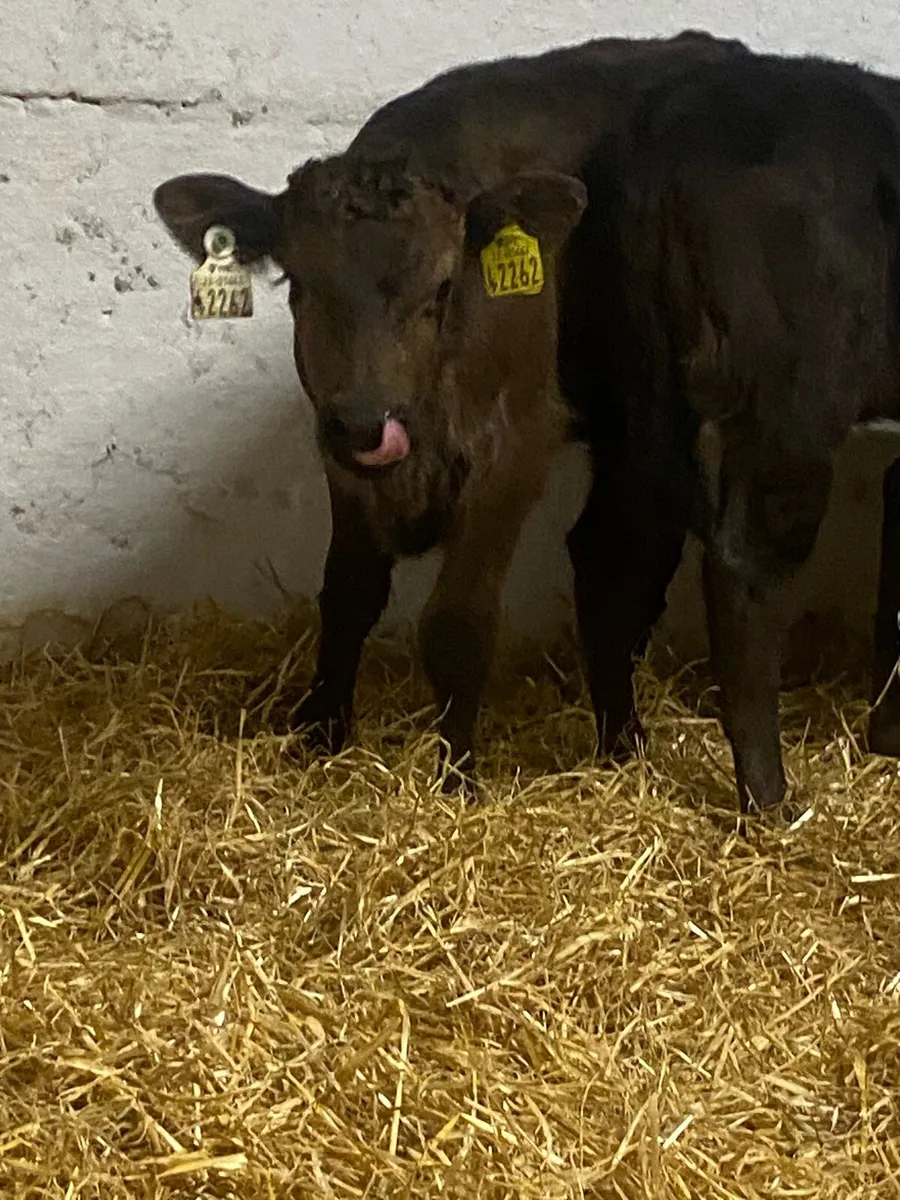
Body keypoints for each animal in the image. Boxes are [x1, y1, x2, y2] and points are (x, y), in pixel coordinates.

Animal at [153, 31, 749, 792]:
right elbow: (346, 596)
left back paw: (621, 736)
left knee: (620, 554)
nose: (365, 422)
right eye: (299, 285)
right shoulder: (340, 459)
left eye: (441, 288)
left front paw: (457, 776)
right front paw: (318, 732)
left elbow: (458, 625)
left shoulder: (512, 449)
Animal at [601, 52, 900, 813]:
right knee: (745, 567)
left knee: (618, 543)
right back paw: (769, 800)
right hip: (792, 404)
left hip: (644, 391)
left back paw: (622, 746)